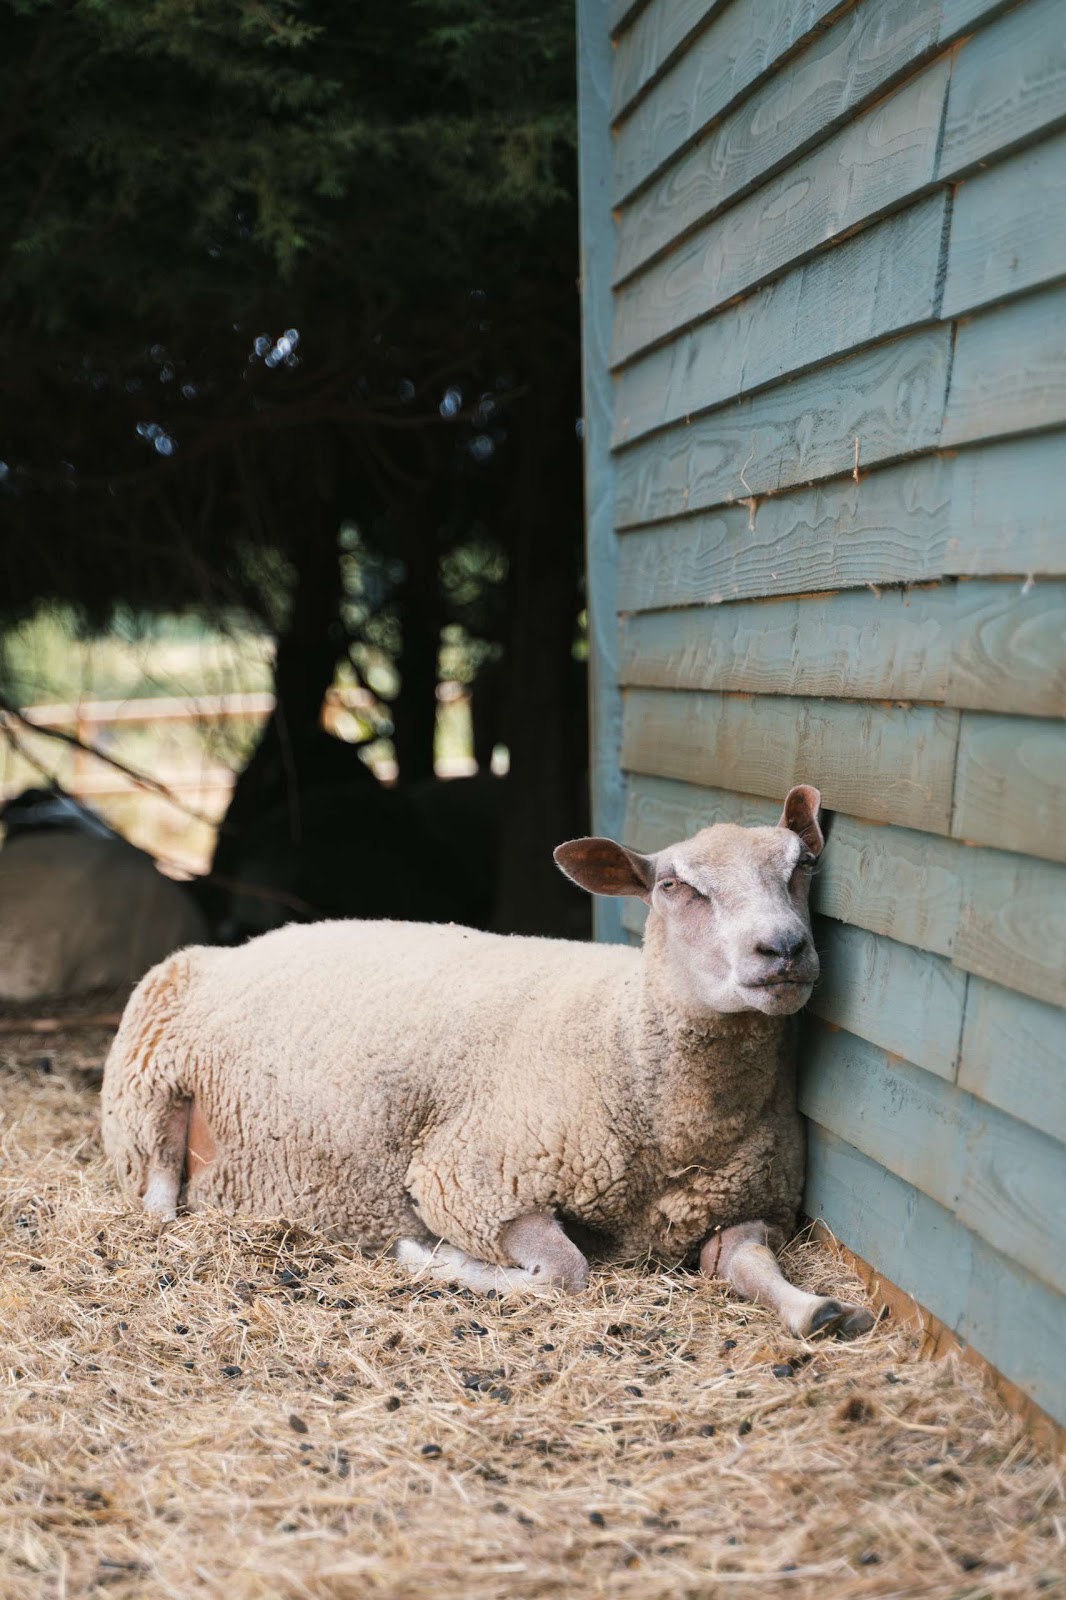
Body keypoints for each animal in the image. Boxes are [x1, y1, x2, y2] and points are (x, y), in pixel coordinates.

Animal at [101, 783, 874, 1339]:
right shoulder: (470, 1179)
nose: (783, 949)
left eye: (802, 867)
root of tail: (239, 944)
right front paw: (434, 1259)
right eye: (674, 887)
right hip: (147, 1101)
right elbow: (563, 1271)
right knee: (160, 1203)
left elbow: (747, 1263)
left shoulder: (749, 1203)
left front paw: (820, 1310)